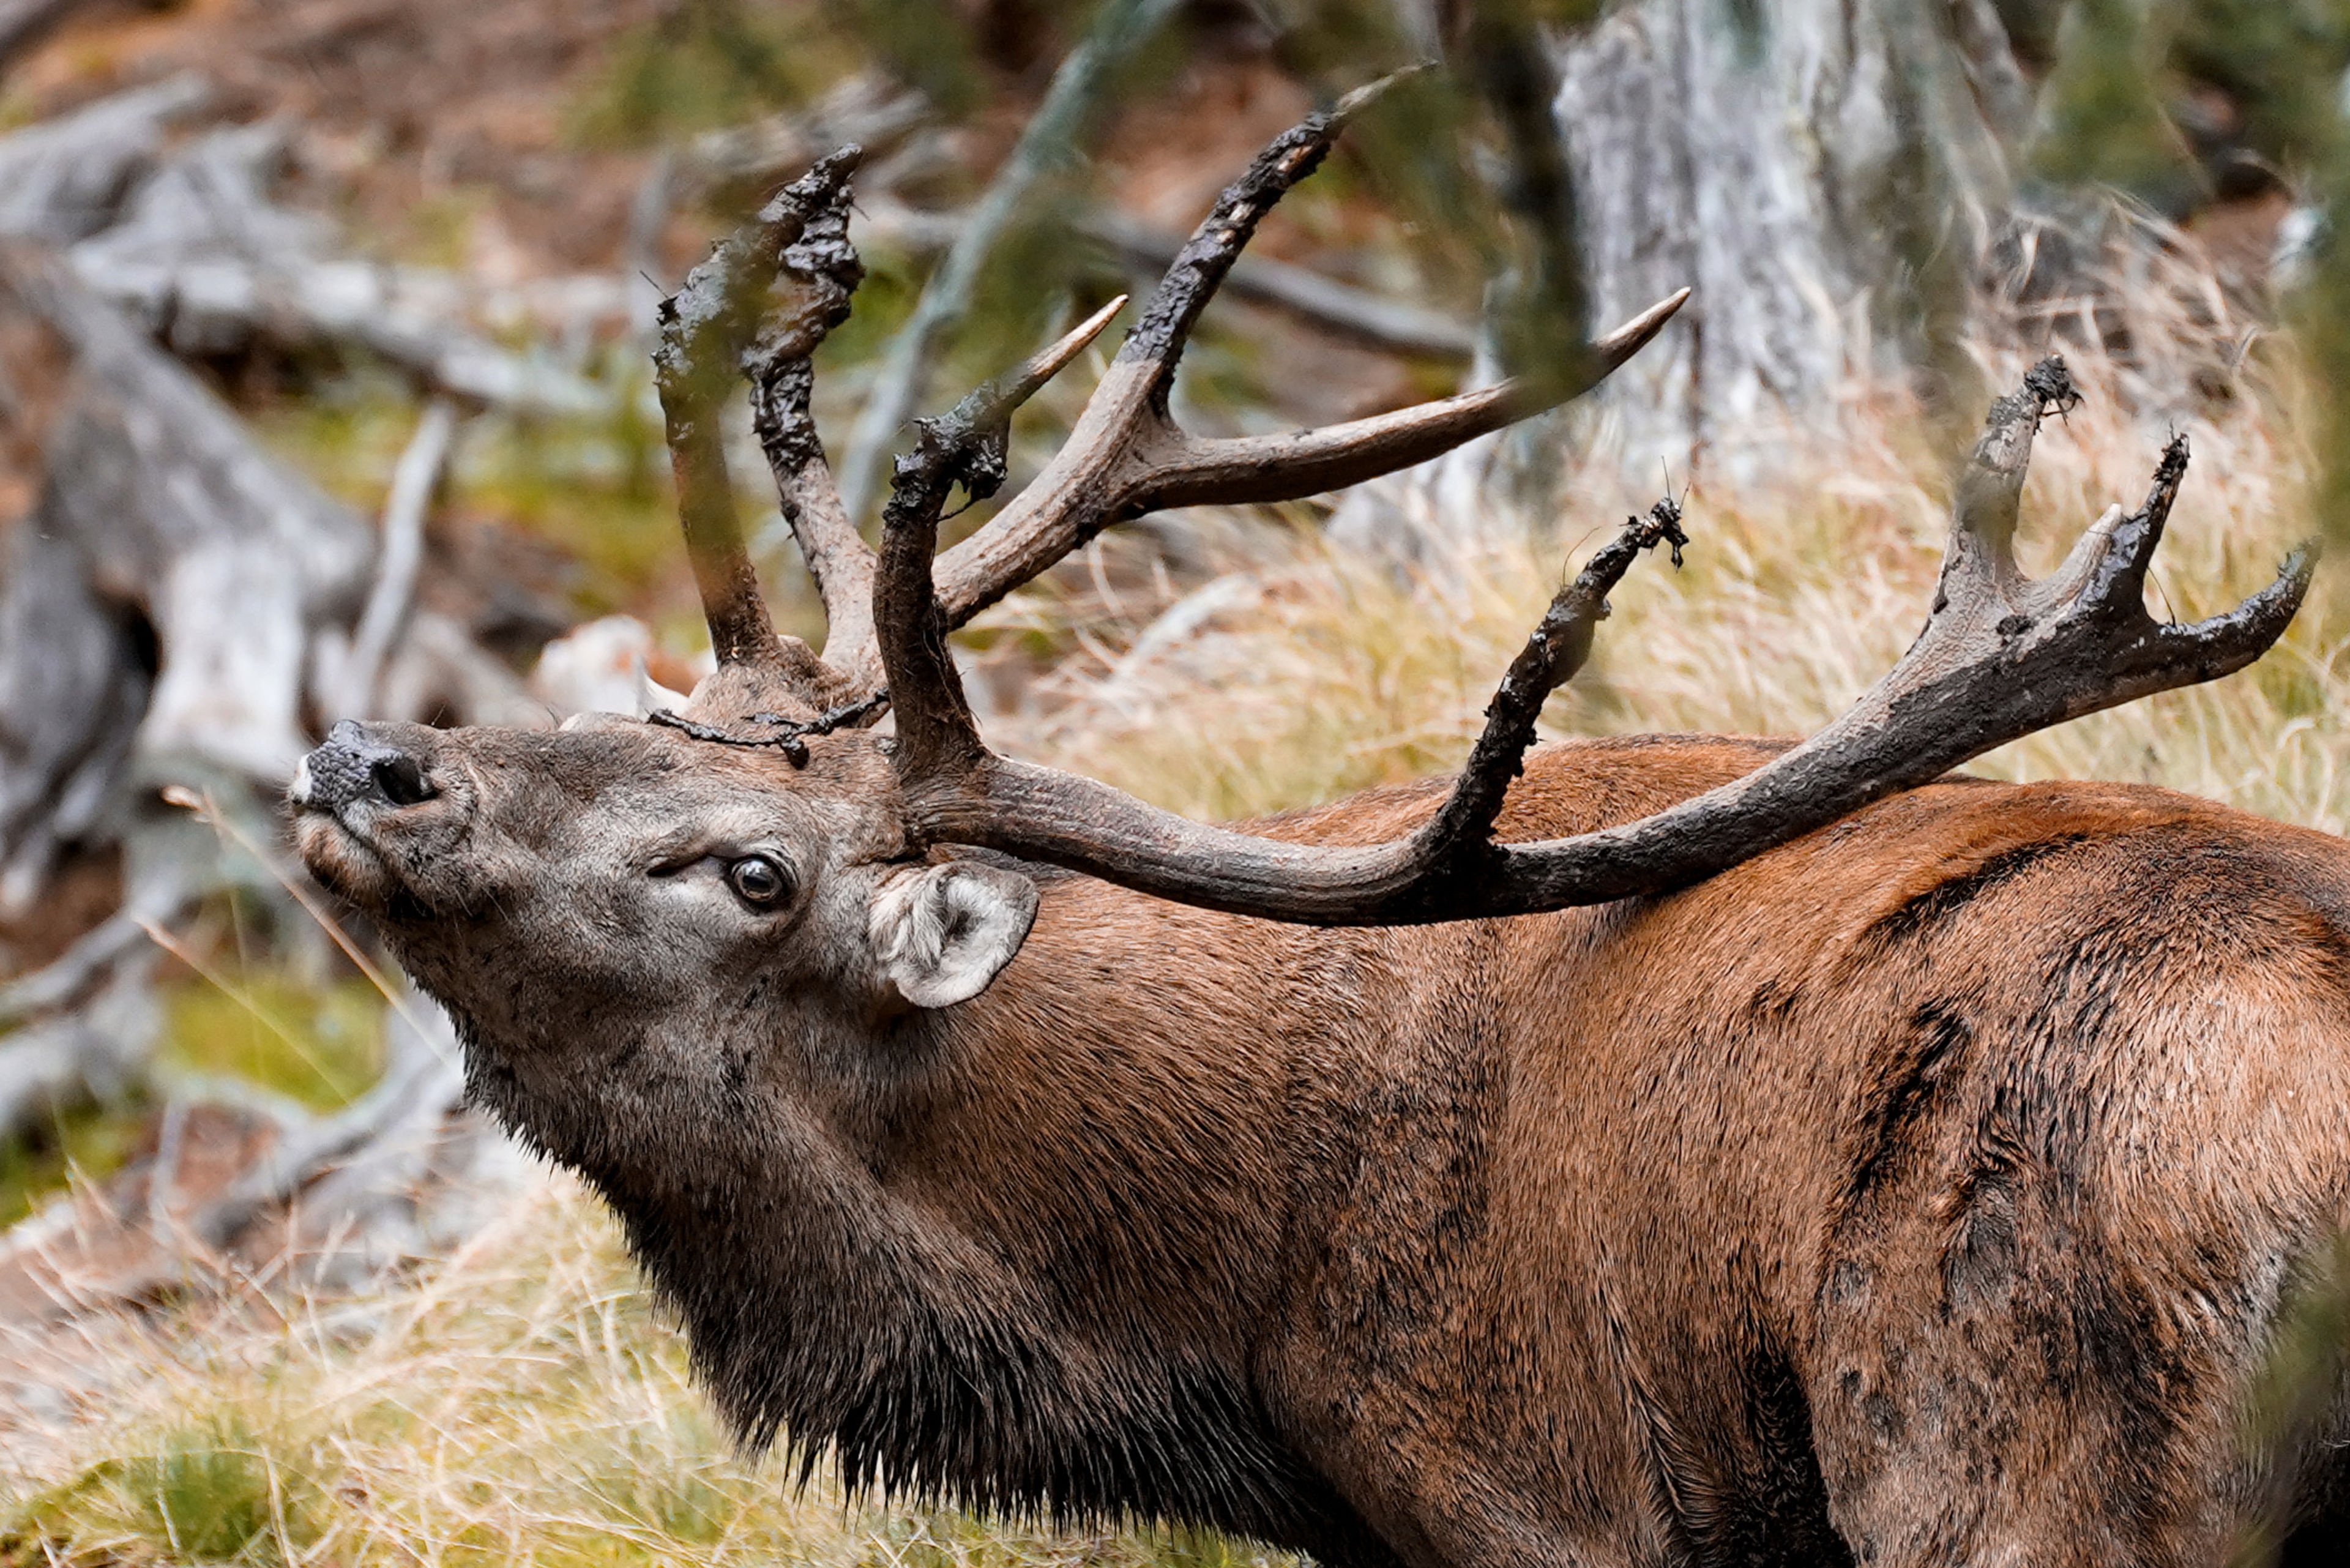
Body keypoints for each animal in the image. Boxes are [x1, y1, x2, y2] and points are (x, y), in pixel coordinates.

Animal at [288, 82, 2348, 1567]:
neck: (1215, 1339)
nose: (367, 760)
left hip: (2023, 1471)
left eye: (748, 869)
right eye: (606, 714)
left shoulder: (1546, 1498)